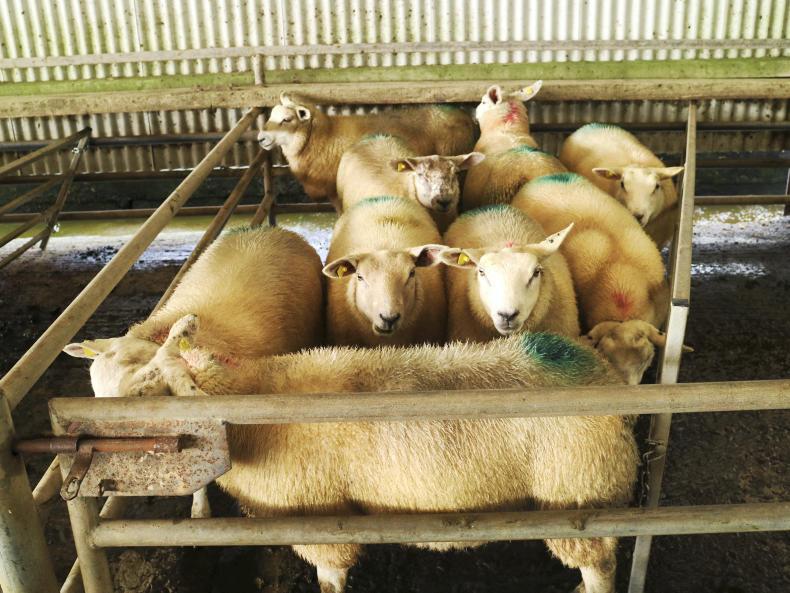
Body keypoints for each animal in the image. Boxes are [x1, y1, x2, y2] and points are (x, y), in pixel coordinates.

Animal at [133, 313, 639, 593]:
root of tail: (601, 374)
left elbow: (330, 580)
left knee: (601, 567)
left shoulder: (319, 518)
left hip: (576, 495)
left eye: (154, 389)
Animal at [258, 93, 476, 209]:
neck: (321, 137)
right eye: (271, 116)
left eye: (287, 119)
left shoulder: (336, 192)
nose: (261, 138)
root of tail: (466, 117)